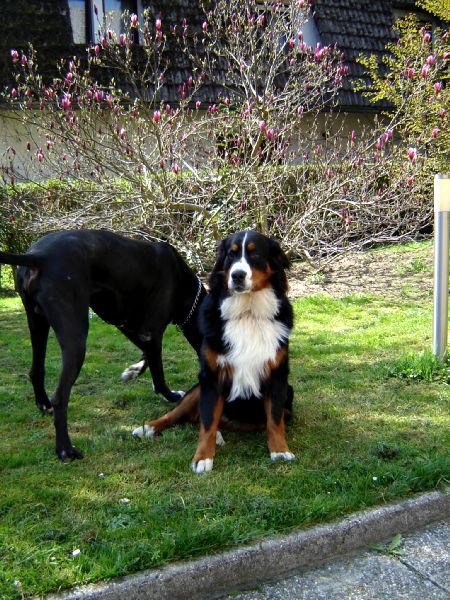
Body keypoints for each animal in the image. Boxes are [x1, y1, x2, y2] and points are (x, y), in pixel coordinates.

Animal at [0, 230, 206, 460]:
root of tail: (39, 256)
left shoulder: (128, 326)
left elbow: (147, 356)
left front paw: (133, 371)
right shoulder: (151, 332)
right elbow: (158, 372)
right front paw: (168, 395)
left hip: (37, 323)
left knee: (36, 370)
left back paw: (43, 404)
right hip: (75, 337)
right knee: (60, 396)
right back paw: (65, 449)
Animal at [133, 230, 296, 474]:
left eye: (256, 253)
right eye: (231, 254)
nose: (237, 275)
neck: (247, 312)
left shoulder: (277, 376)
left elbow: (275, 420)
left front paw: (280, 451)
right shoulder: (211, 377)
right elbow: (207, 423)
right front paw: (202, 457)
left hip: (289, 395)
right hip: (197, 389)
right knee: (181, 415)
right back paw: (148, 428)